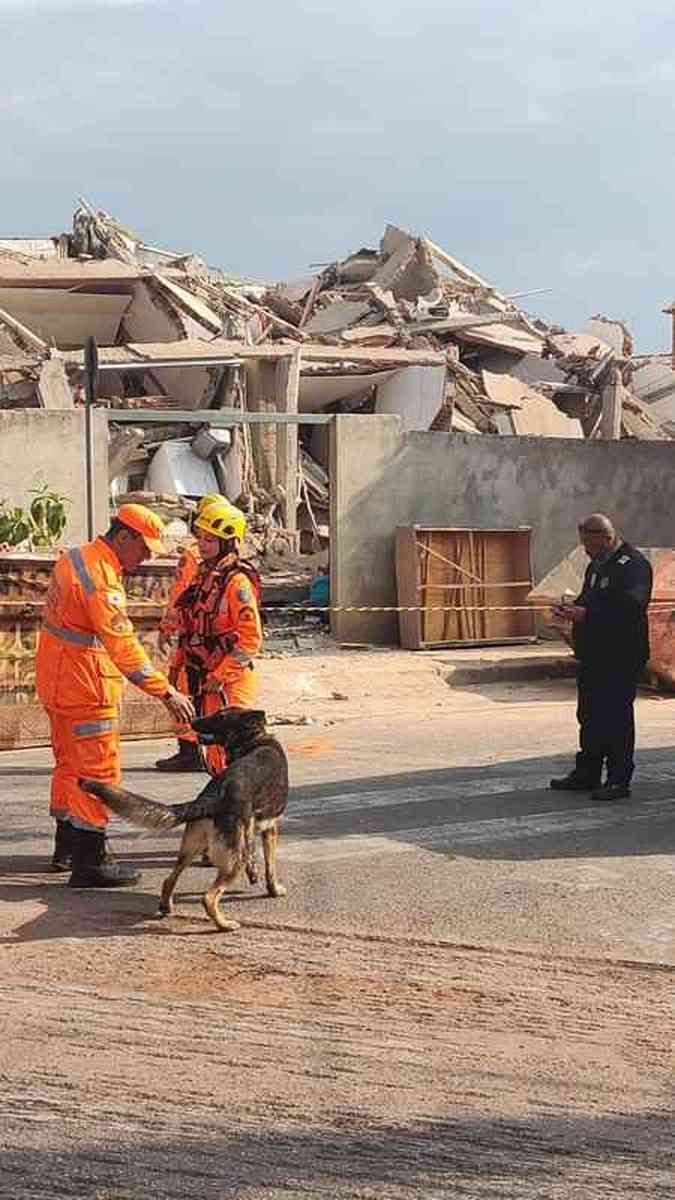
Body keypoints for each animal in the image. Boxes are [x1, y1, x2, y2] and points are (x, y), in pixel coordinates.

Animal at [79, 705, 288, 931]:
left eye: (221, 716)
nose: (194, 720)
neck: (252, 741)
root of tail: (213, 796)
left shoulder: (253, 830)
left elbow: (254, 857)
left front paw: (255, 874)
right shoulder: (271, 828)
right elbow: (270, 867)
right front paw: (274, 890)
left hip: (190, 849)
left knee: (169, 880)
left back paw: (166, 907)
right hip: (231, 861)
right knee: (209, 897)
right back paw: (224, 924)